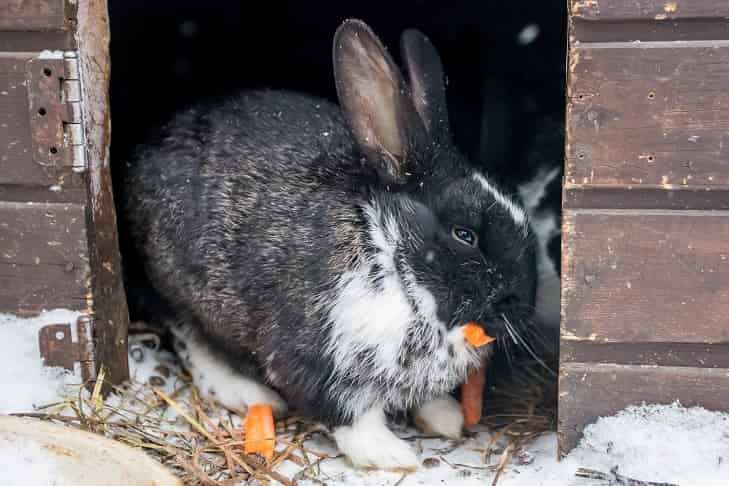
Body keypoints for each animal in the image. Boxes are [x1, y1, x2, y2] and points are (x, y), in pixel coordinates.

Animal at [123, 19, 536, 470]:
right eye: (465, 235)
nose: (523, 305)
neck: (392, 257)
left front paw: (445, 417)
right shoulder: (316, 356)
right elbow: (347, 411)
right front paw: (390, 454)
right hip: (180, 290)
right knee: (190, 339)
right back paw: (247, 393)